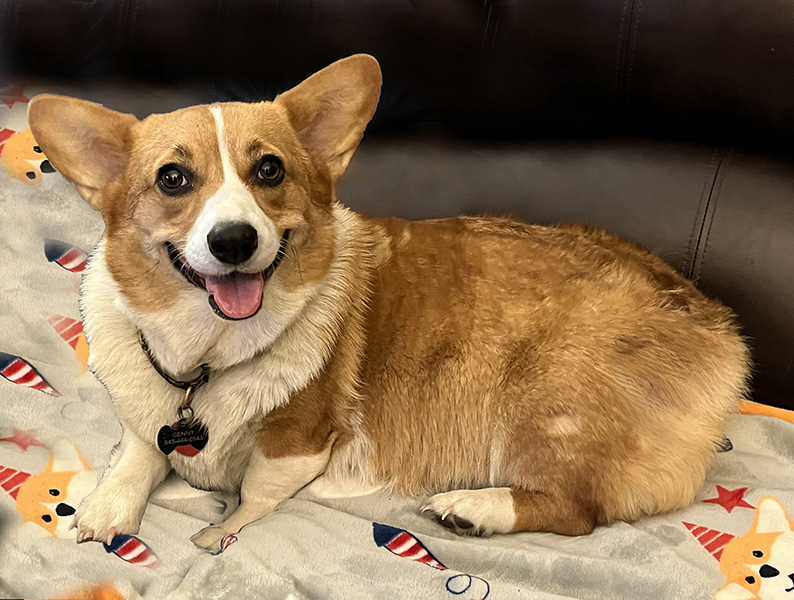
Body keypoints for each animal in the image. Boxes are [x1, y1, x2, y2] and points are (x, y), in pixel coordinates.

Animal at [26, 54, 748, 552]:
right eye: (172, 179)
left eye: (270, 170)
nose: (233, 241)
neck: (205, 355)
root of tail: (721, 330)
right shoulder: (150, 409)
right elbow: (141, 449)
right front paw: (107, 506)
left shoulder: (298, 446)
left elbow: (253, 498)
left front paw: (219, 538)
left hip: (543, 397)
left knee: (579, 511)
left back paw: (474, 507)